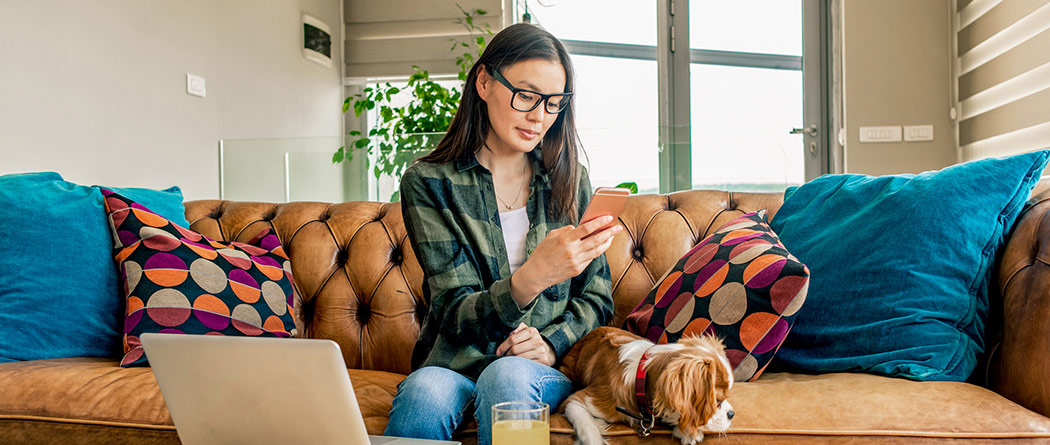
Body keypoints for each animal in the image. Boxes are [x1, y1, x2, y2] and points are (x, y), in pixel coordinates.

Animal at [554, 325, 734, 442]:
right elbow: (588, 430)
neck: (640, 378)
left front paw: (688, 432)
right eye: (717, 401)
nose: (732, 414)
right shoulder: (577, 400)